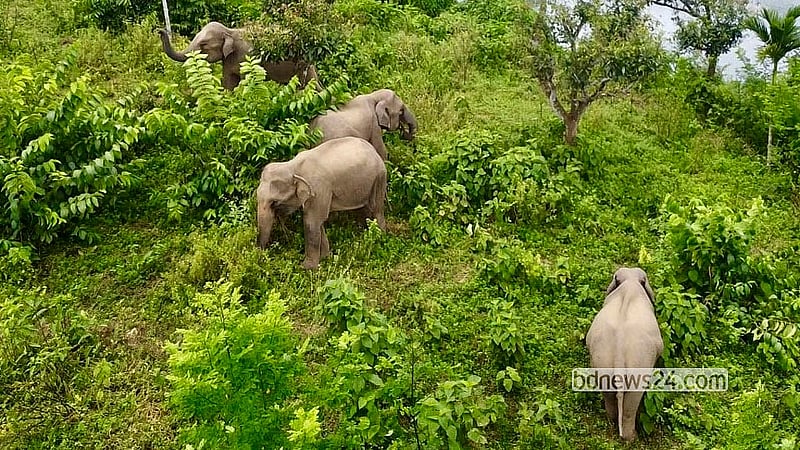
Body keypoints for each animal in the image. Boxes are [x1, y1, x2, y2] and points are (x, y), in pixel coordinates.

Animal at [158, 22, 320, 90]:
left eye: (203, 44)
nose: (159, 30)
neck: (230, 31)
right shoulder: (228, 60)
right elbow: (229, 81)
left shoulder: (247, 55)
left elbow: (246, 78)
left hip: (302, 64)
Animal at [256, 137, 387, 269]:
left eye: (274, 202)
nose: (262, 255)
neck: (293, 167)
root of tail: (373, 150)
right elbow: (318, 222)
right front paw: (325, 258)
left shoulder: (318, 189)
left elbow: (311, 221)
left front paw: (307, 268)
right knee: (362, 209)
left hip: (379, 177)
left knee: (377, 208)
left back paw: (380, 239)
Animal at [585, 267, 663, 442]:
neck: (630, 282)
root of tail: (619, 353)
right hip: (639, 366)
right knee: (632, 401)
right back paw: (632, 438)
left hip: (603, 365)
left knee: (608, 393)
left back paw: (613, 422)